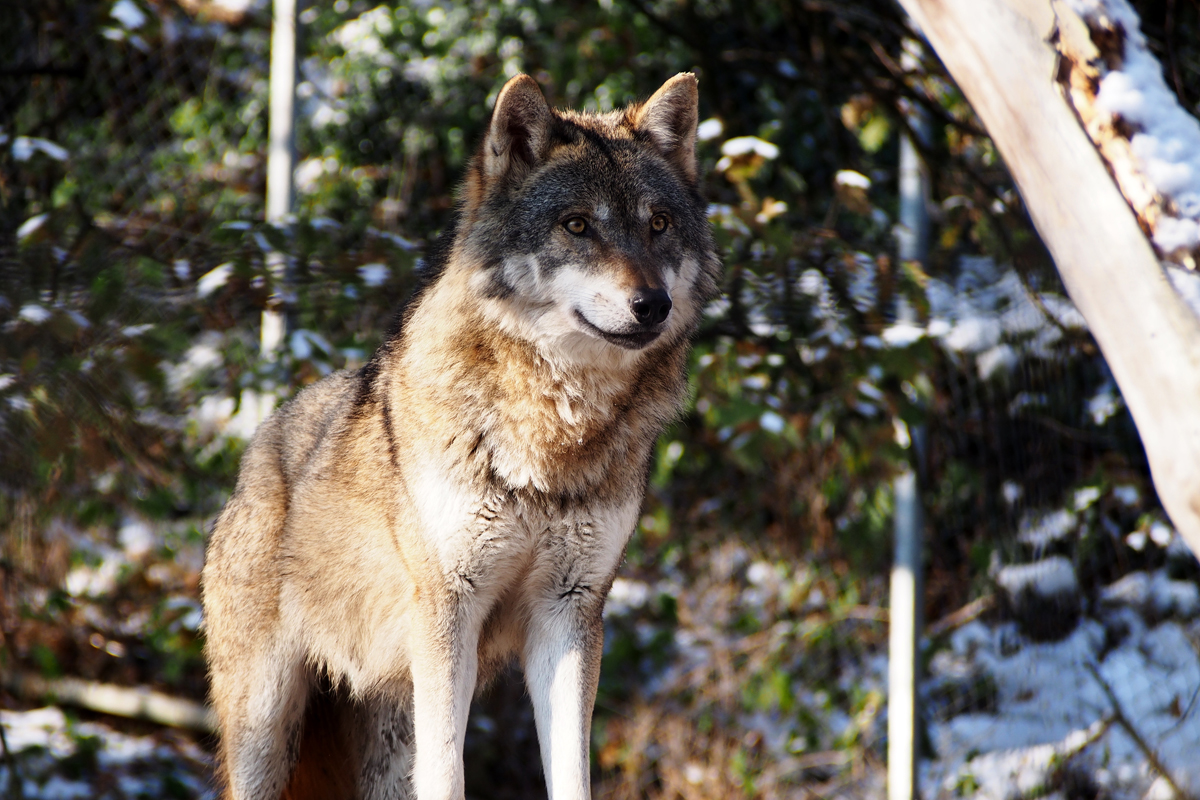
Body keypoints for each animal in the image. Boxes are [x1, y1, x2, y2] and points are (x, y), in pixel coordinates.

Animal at [201, 70, 720, 800]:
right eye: (577, 225)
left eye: (659, 224)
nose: (654, 305)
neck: (550, 435)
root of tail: (256, 458)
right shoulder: (451, 606)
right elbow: (449, 772)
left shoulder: (569, 612)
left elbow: (571, 770)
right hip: (267, 728)